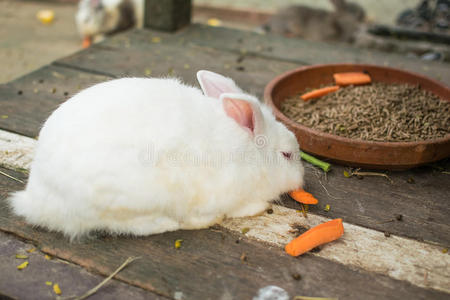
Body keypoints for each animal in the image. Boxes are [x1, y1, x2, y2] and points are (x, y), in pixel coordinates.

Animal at [8, 69, 304, 239]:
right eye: (287, 155)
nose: (301, 178)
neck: (247, 155)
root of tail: (36, 200)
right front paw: (258, 207)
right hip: (134, 199)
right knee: (130, 226)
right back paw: (171, 224)